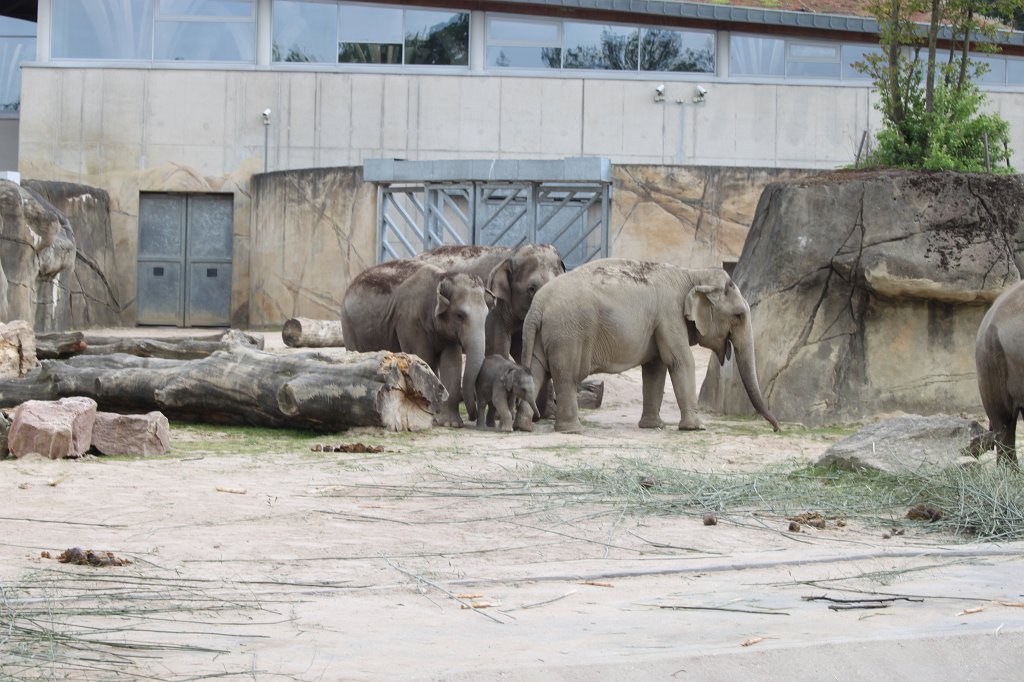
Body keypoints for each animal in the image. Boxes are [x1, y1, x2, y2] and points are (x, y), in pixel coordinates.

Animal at [340, 259, 490, 427]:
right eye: (460, 315)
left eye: (486, 315)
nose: (473, 417)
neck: (441, 278)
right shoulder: (410, 322)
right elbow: (423, 357)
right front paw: (431, 415)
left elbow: (452, 363)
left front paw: (450, 424)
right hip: (348, 325)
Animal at [520, 259, 781, 434]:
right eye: (738, 316)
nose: (777, 428)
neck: (692, 274)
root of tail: (537, 306)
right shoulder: (669, 314)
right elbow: (680, 361)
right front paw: (696, 428)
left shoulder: (659, 322)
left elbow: (655, 368)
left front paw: (653, 426)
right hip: (568, 334)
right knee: (566, 375)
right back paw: (572, 430)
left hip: (546, 334)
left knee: (536, 371)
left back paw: (523, 426)